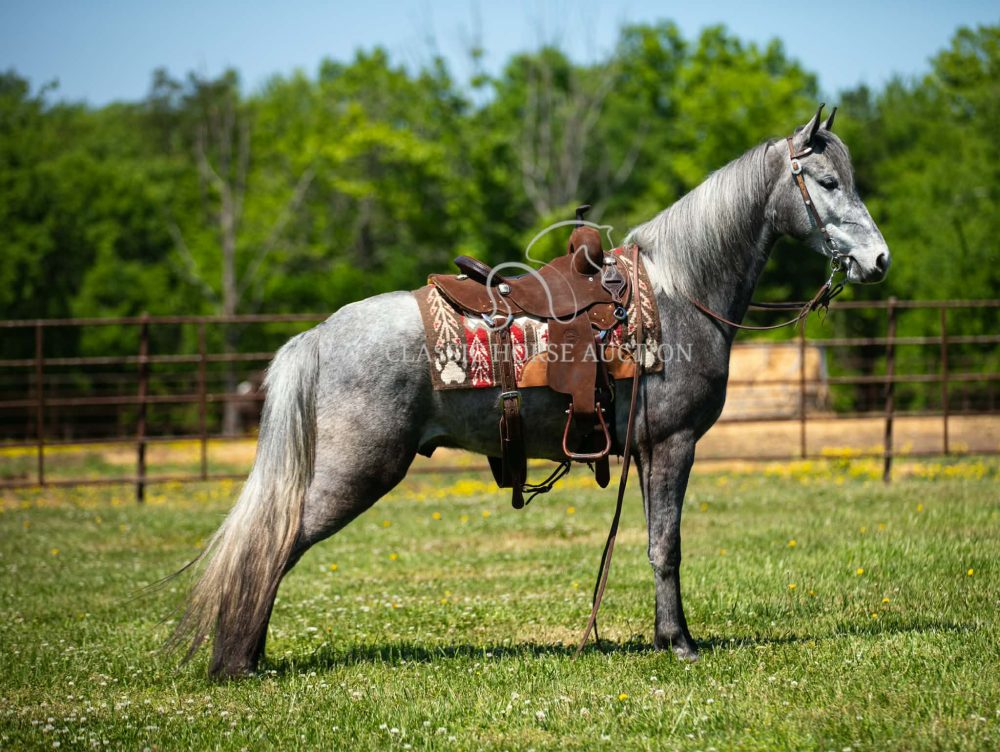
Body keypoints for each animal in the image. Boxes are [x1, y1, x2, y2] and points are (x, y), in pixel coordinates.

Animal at [168, 107, 891, 678]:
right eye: (827, 183)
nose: (878, 260)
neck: (680, 292)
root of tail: (318, 336)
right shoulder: (674, 445)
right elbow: (667, 546)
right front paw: (681, 643)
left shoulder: (648, 452)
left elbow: (654, 542)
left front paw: (665, 638)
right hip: (355, 473)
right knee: (276, 544)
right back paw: (240, 661)